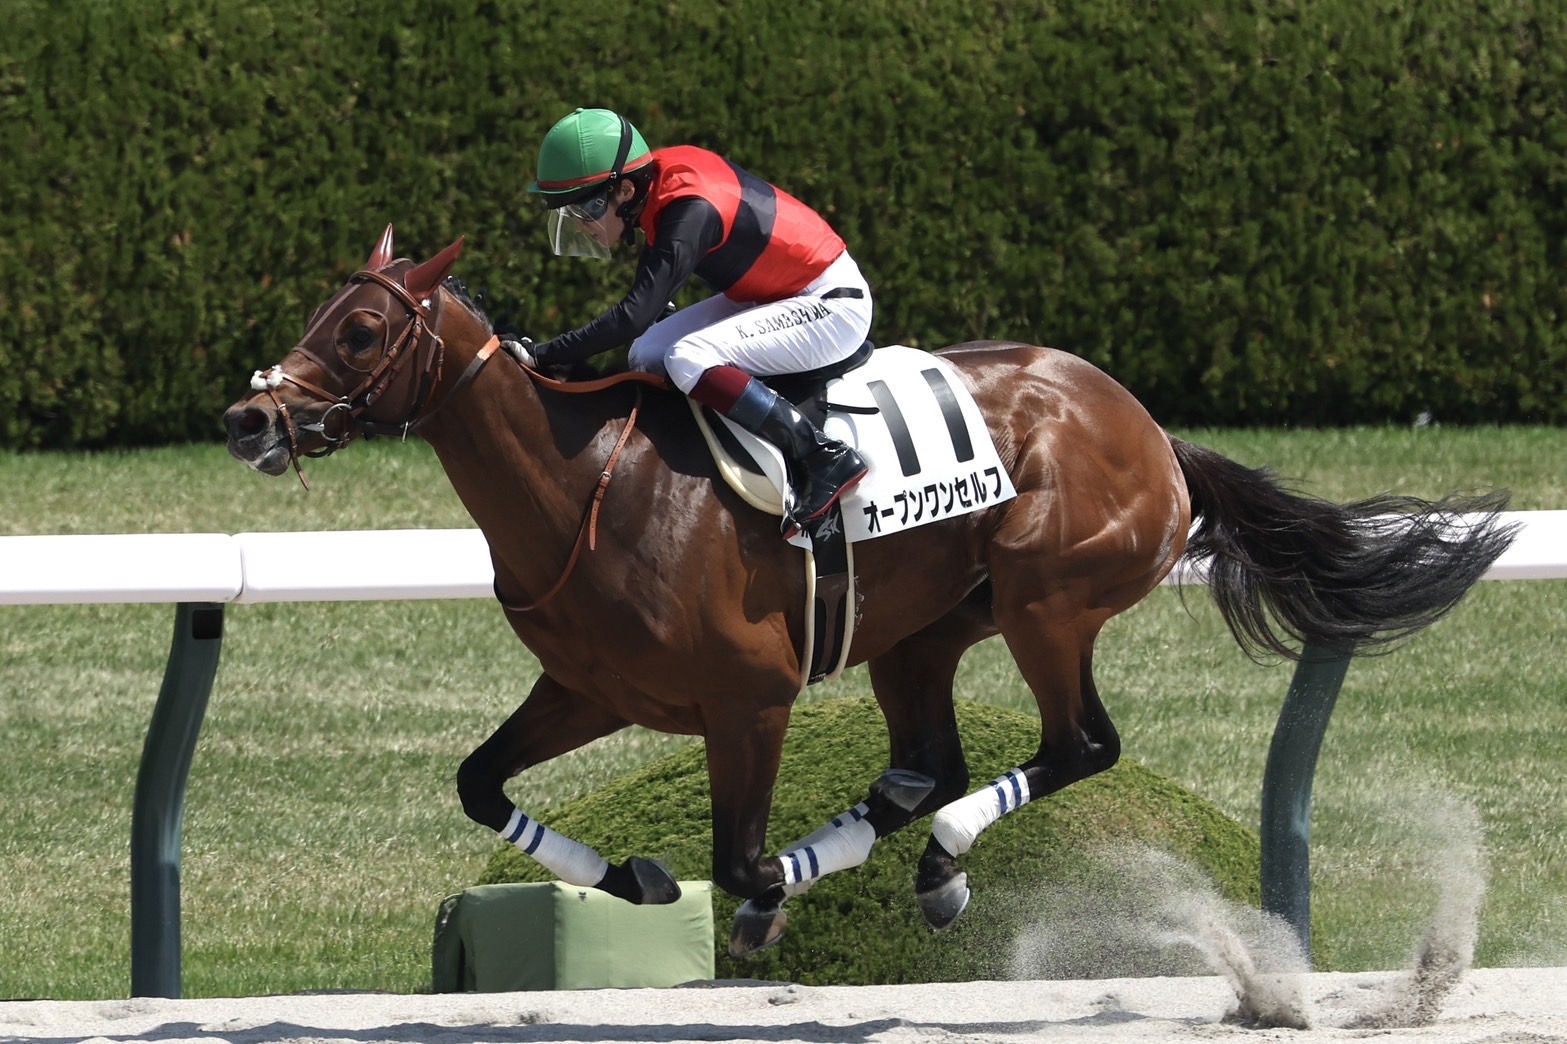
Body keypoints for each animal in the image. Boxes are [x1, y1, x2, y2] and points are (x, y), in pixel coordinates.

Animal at [220, 232, 1516, 953]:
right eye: (319, 316)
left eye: (364, 329)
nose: (248, 418)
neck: (585, 479)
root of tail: (1150, 430)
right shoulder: (590, 689)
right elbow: (480, 783)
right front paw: (634, 876)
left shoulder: (751, 699)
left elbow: (745, 855)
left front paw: (747, 898)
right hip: (923, 632)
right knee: (930, 764)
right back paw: (932, 862)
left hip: (1048, 598)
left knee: (1076, 745)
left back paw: (942, 860)